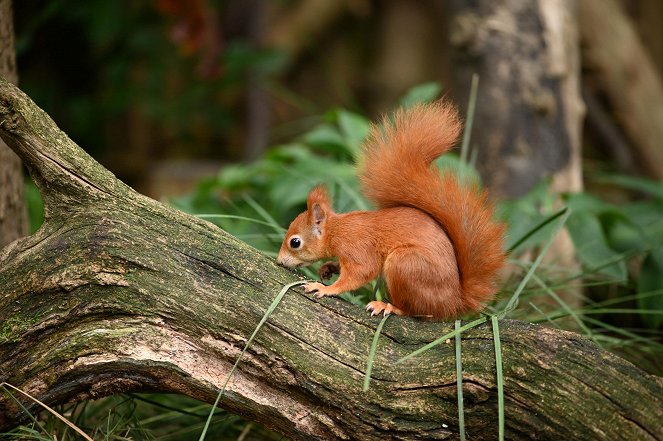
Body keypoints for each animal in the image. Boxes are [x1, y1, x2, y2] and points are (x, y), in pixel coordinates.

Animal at [278, 101, 506, 318]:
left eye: (295, 242)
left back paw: (388, 306)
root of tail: (454, 302)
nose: (279, 261)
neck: (337, 230)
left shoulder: (356, 246)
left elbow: (361, 272)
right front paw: (329, 267)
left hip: (405, 264)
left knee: (417, 312)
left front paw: (326, 288)